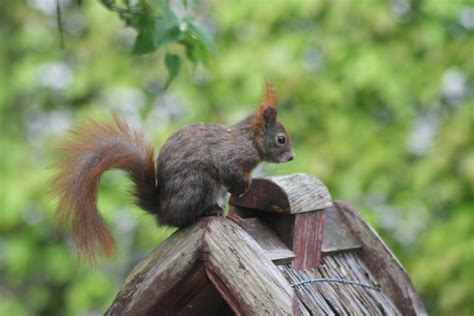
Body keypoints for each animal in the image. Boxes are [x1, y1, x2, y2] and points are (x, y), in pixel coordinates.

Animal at [51, 81, 292, 260]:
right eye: (281, 139)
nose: (292, 157)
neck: (251, 140)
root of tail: (163, 209)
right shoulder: (232, 157)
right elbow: (231, 171)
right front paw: (244, 187)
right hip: (198, 185)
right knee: (182, 220)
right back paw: (208, 213)